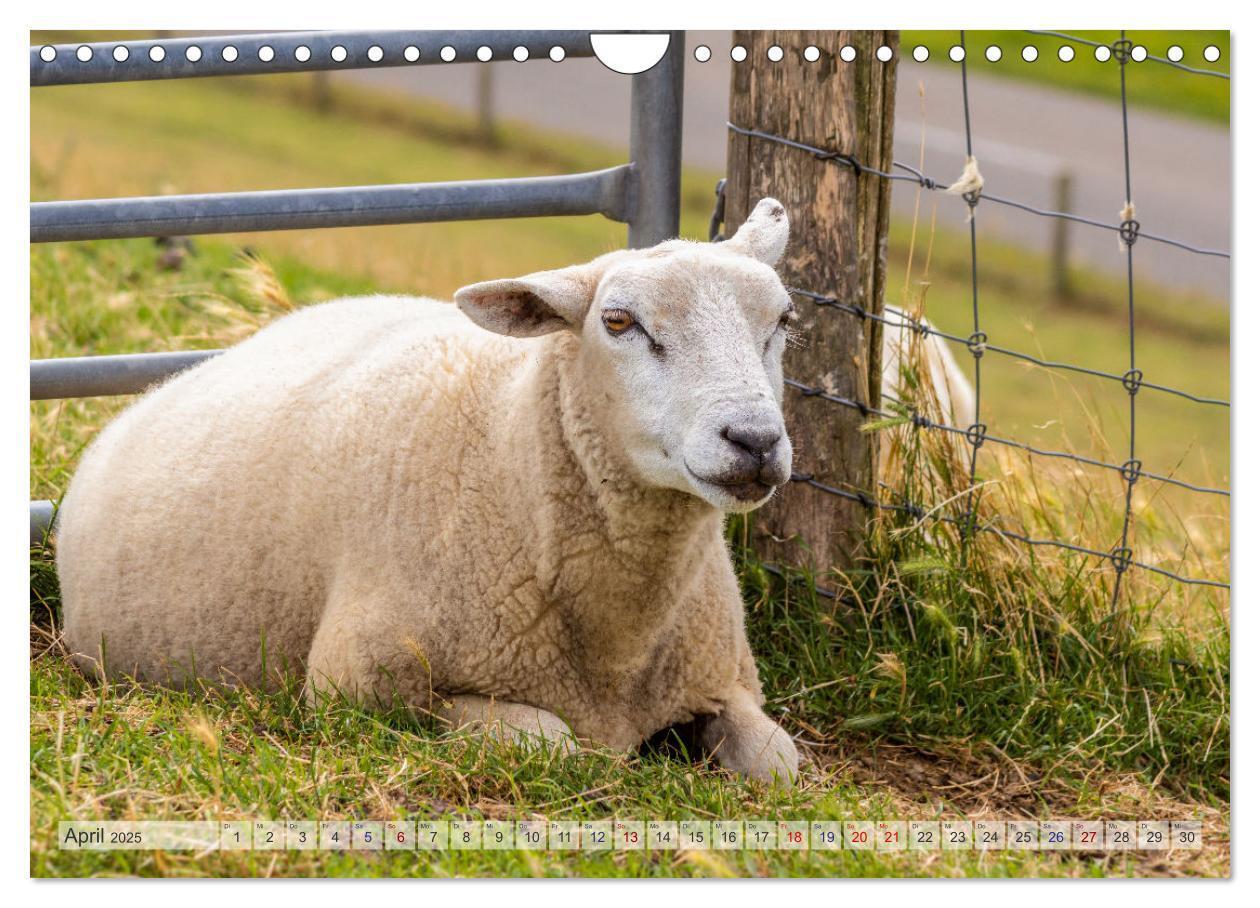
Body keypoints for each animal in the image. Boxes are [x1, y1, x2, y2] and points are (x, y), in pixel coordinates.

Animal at [54, 200, 967, 785]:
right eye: (618, 323)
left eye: (783, 321)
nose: (754, 441)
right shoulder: (361, 691)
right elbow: (552, 744)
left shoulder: (723, 681)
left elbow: (784, 766)